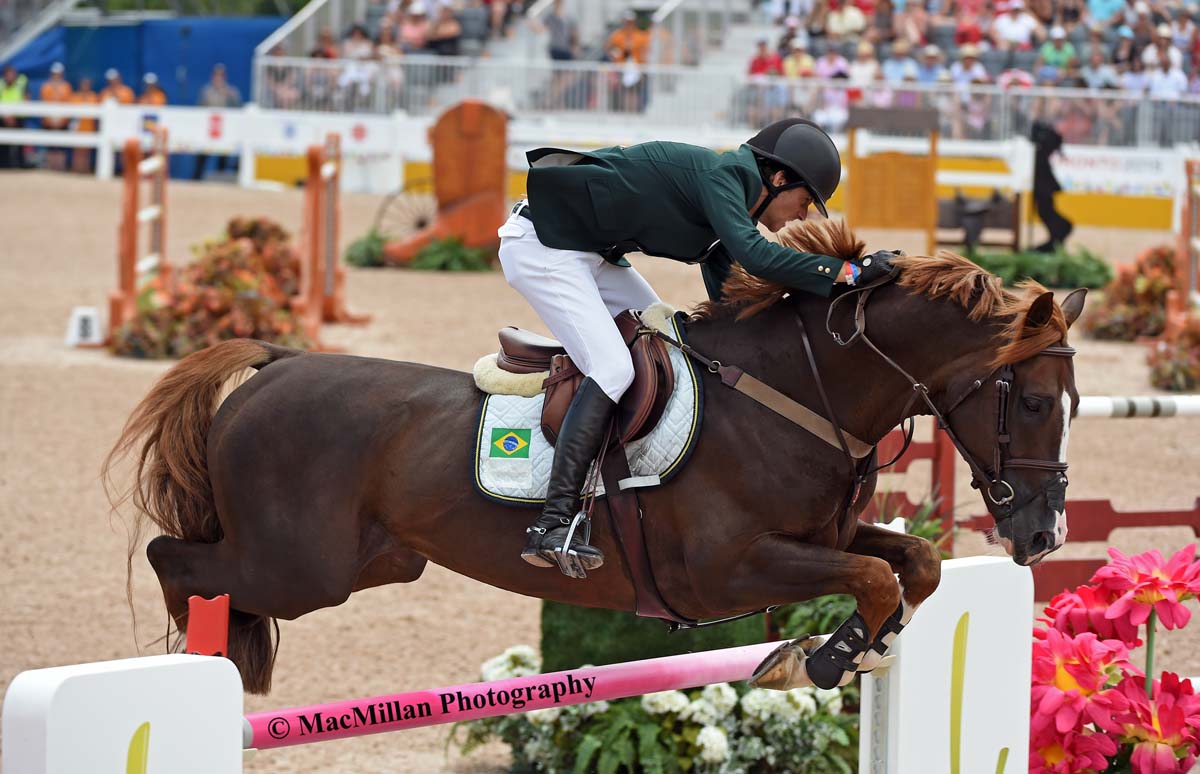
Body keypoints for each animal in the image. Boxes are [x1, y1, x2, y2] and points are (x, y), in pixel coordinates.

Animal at [108, 218, 1089, 696]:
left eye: (1074, 405)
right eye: (1038, 403)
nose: (1043, 537)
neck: (795, 396)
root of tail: (278, 363)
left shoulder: (825, 538)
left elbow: (911, 564)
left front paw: (854, 652)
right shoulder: (727, 570)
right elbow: (879, 579)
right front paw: (817, 661)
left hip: (370, 561)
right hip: (298, 566)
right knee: (176, 558)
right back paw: (210, 657)